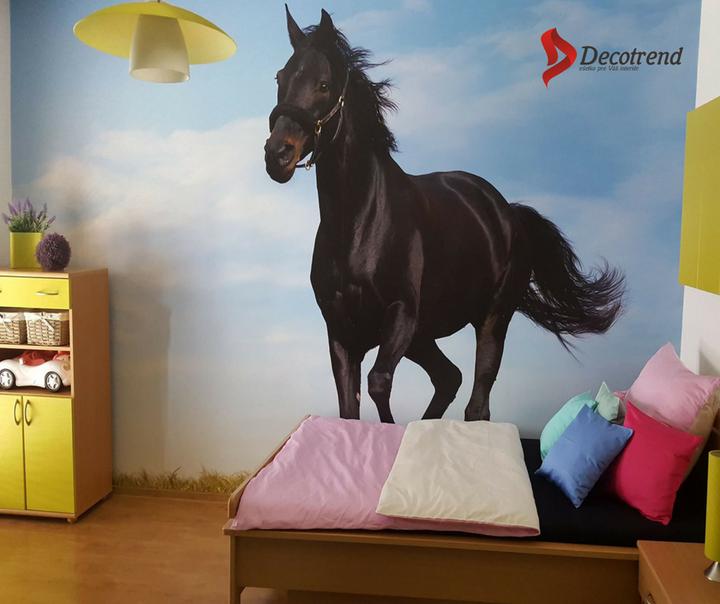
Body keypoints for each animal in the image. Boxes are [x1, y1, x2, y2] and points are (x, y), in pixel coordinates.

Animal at [264, 7, 625, 423]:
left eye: (323, 84)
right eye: (281, 78)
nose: (277, 155)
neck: (358, 225)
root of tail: (507, 212)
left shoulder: (400, 317)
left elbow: (379, 383)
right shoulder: (341, 333)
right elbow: (348, 410)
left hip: (490, 319)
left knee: (477, 401)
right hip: (424, 337)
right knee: (450, 378)